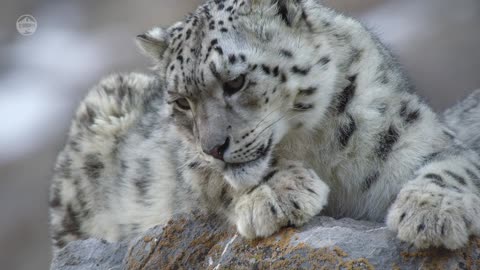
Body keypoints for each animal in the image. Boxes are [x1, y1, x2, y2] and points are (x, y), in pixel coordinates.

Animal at [49, 0, 480, 251]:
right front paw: (278, 193)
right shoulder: (190, 166)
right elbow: (217, 179)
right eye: (182, 101)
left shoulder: (406, 131)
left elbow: (456, 162)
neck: (313, 144)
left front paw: (434, 211)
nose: (213, 147)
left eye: (235, 81)